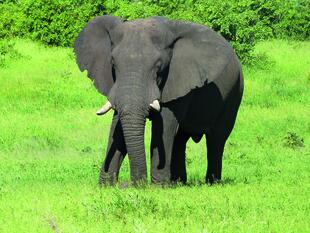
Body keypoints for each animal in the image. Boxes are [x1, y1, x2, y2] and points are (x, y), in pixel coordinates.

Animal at [74, 15, 243, 185]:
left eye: (159, 66)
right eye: (113, 64)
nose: (129, 184)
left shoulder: (177, 78)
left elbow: (164, 124)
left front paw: (158, 187)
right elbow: (118, 124)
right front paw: (106, 186)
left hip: (235, 91)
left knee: (217, 139)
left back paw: (211, 182)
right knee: (180, 139)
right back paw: (178, 182)